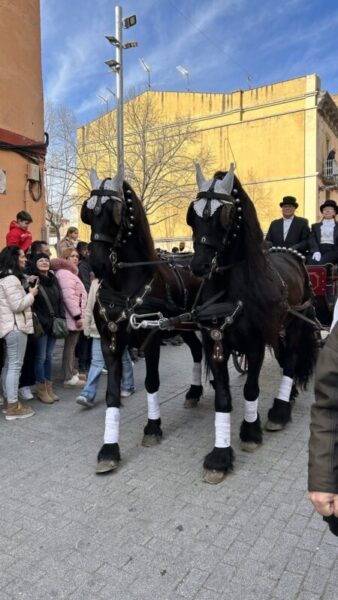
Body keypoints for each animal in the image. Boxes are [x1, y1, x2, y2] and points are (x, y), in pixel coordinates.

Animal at [82, 168, 203, 474]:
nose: (97, 264)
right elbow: (112, 394)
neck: (124, 286)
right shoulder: (111, 343)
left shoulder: (150, 341)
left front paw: (153, 427)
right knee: (197, 350)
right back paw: (194, 392)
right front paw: (109, 449)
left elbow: (151, 382)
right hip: (183, 326)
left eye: (115, 211)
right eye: (88, 212)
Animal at [186, 163, 318, 482]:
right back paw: (289, 395)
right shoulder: (216, 343)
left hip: (294, 326)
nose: (198, 266)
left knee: (291, 361)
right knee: (285, 359)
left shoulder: (256, 344)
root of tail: (292, 255)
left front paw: (250, 431)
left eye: (225, 215)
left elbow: (250, 389)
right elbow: (222, 397)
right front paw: (220, 456)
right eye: (192, 214)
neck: (231, 289)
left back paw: (280, 411)